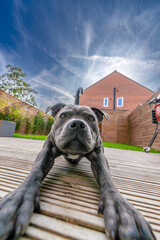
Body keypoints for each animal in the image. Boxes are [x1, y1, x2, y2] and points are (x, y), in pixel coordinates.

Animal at [0, 103, 156, 240]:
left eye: (91, 118)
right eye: (63, 115)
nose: (78, 124)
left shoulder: (98, 156)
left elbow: (106, 177)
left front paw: (121, 209)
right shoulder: (48, 150)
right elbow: (36, 171)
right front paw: (18, 201)